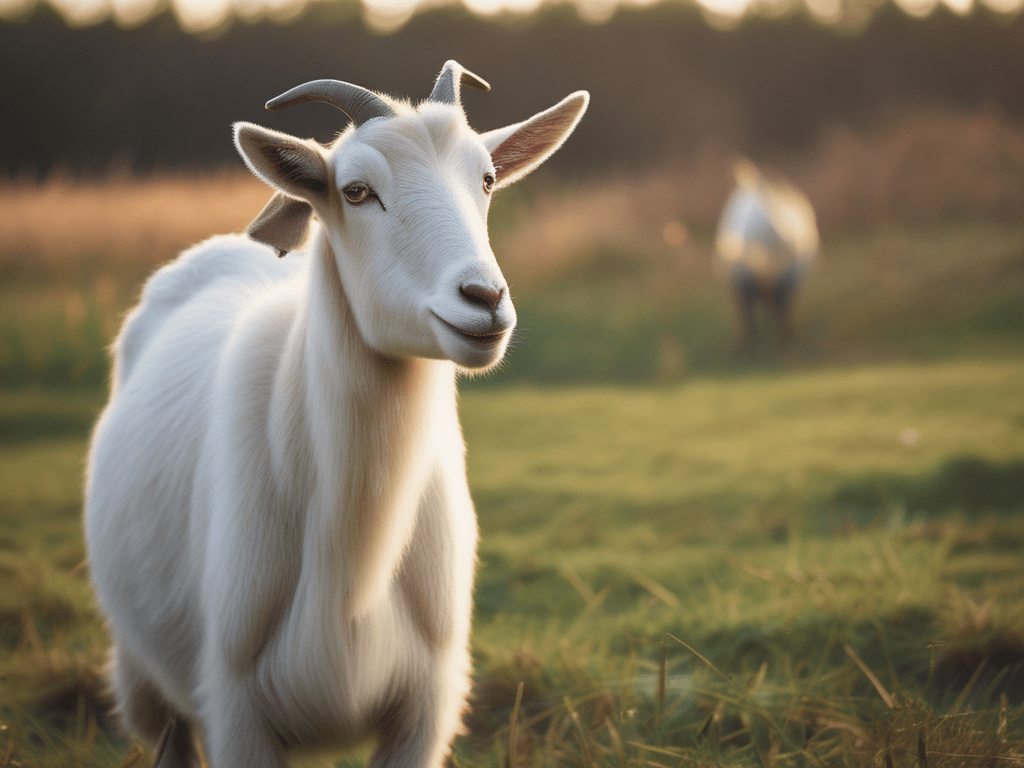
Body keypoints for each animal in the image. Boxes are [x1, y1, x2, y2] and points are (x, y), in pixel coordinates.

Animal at [84, 61, 588, 768]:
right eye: (355, 191)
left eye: (487, 179)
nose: (484, 298)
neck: (354, 570)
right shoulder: (236, 708)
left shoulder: (425, 708)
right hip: (144, 680)